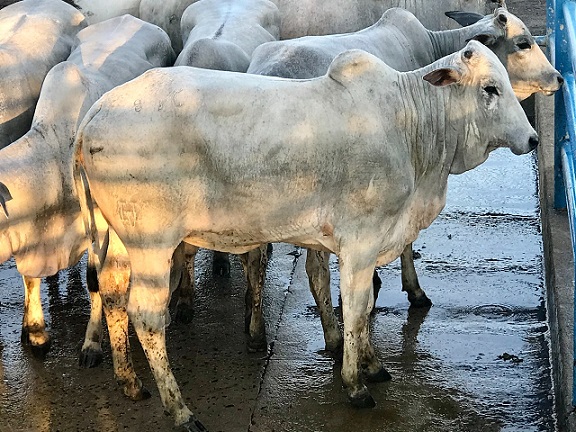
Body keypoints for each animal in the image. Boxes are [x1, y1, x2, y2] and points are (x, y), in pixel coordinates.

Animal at [74, 39, 536, 428]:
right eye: (490, 88)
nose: (532, 138)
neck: (411, 126)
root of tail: (95, 114)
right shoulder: (361, 241)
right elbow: (357, 308)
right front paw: (356, 382)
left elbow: (350, 302)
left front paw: (370, 363)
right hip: (152, 245)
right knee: (146, 315)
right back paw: (180, 410)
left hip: (119, 240)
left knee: (111, 294)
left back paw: (129, 382)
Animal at [244, 5, 564, 352]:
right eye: (523, 43)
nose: (558, 78)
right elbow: (407, 242)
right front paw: (413, 291)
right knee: (314, 271)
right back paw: (332, 337)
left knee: (255, 258)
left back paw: (256, 329)